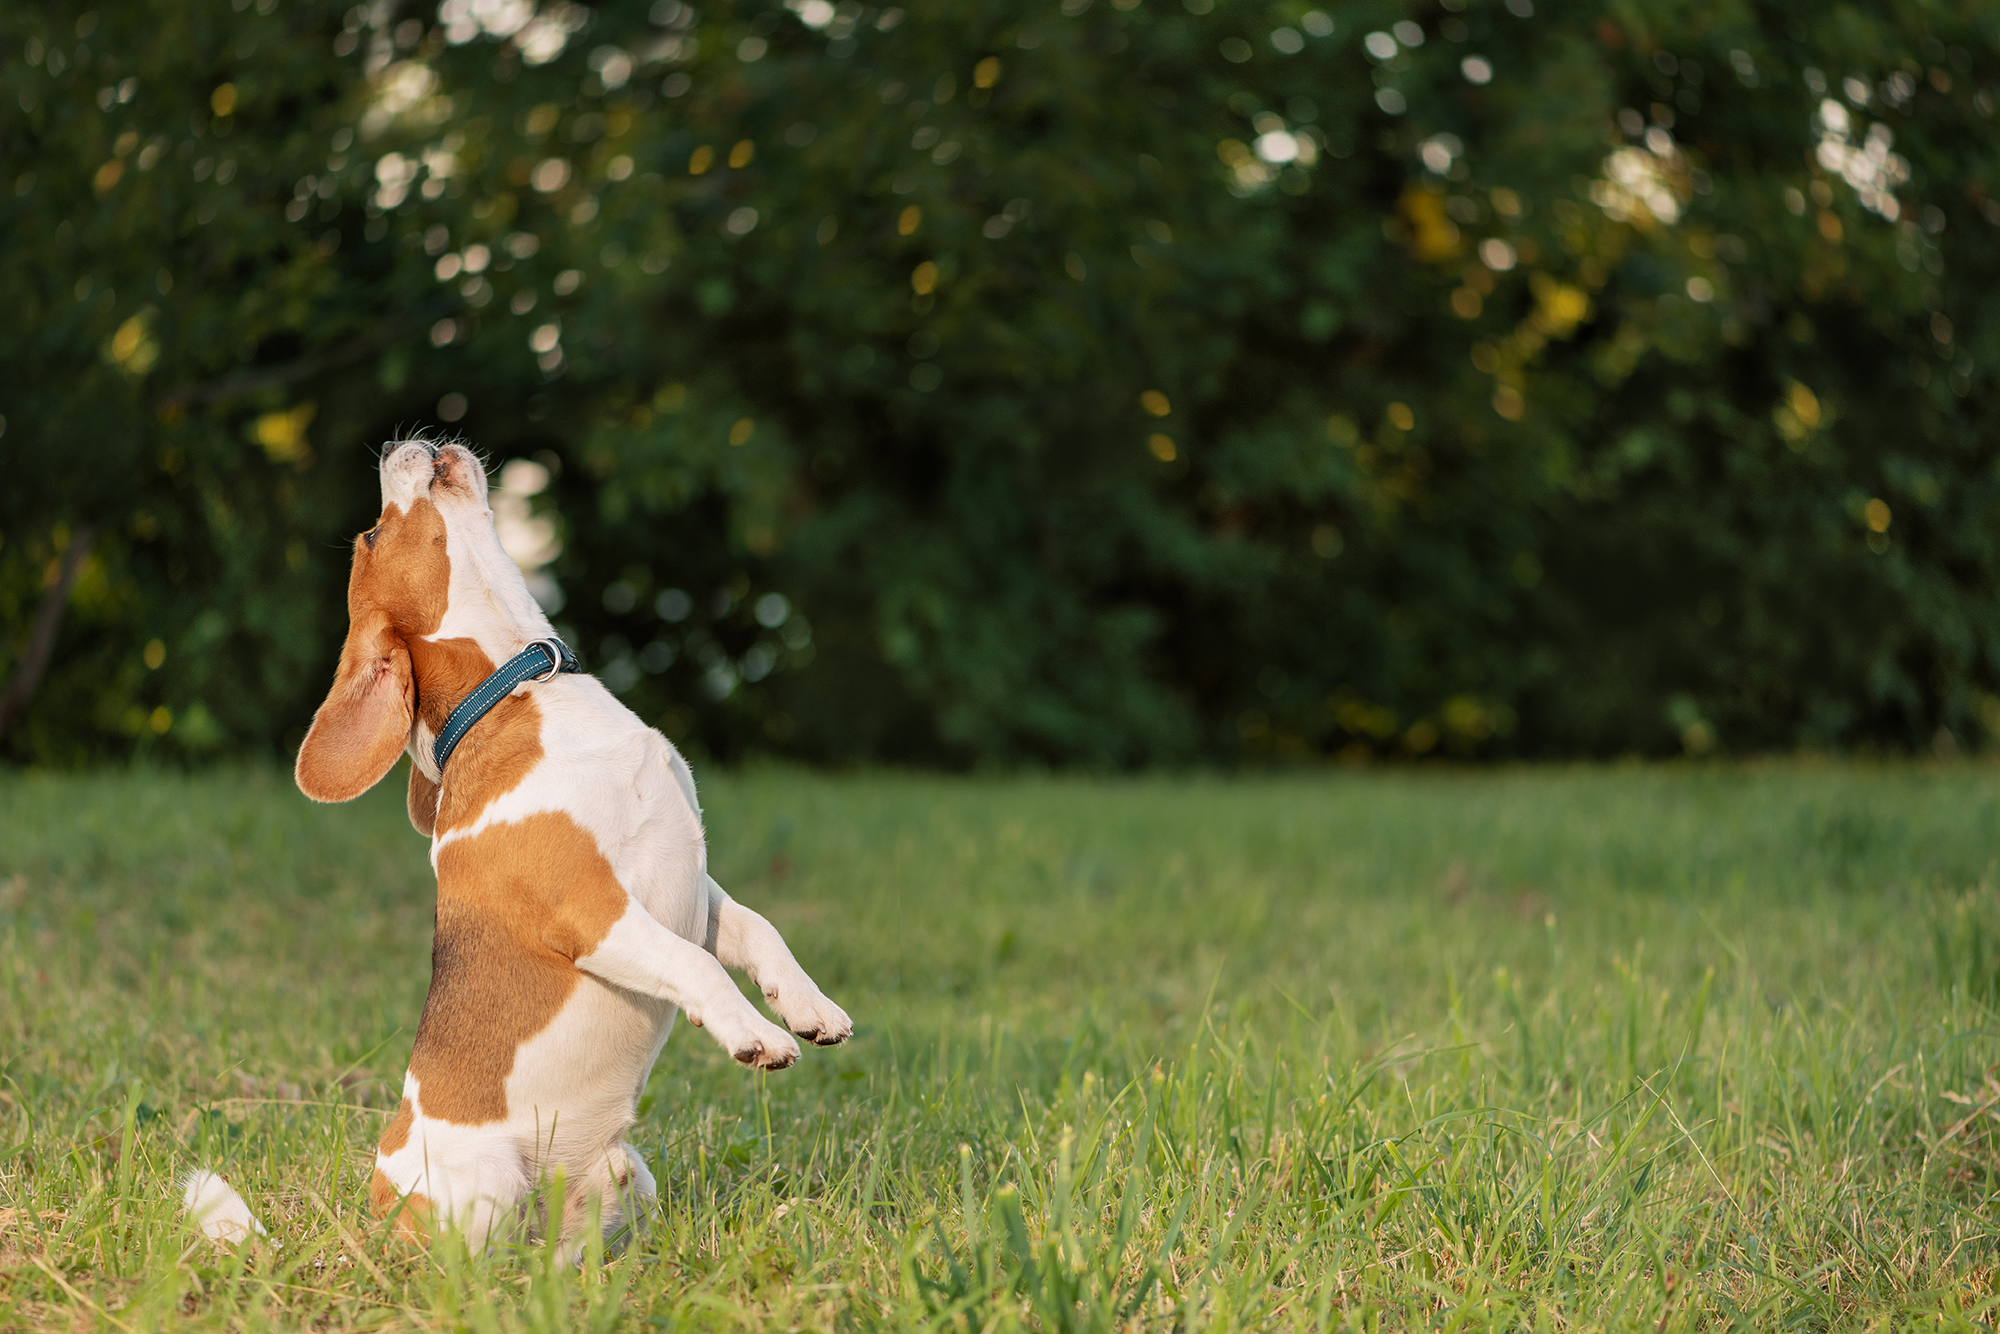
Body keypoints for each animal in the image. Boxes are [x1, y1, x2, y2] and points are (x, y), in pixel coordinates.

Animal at [292, 444, 852, 1256]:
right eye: (372, 535)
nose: (400, 446)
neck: (524, 684)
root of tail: (375, 1216)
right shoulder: (590, 907)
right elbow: (698, 966)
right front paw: (756, 1033)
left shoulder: (695, 889)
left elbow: (759, 933)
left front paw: (811, 1008)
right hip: (487, 1185)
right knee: (484, 1262)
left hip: (628, 1175)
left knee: (570, 1253)